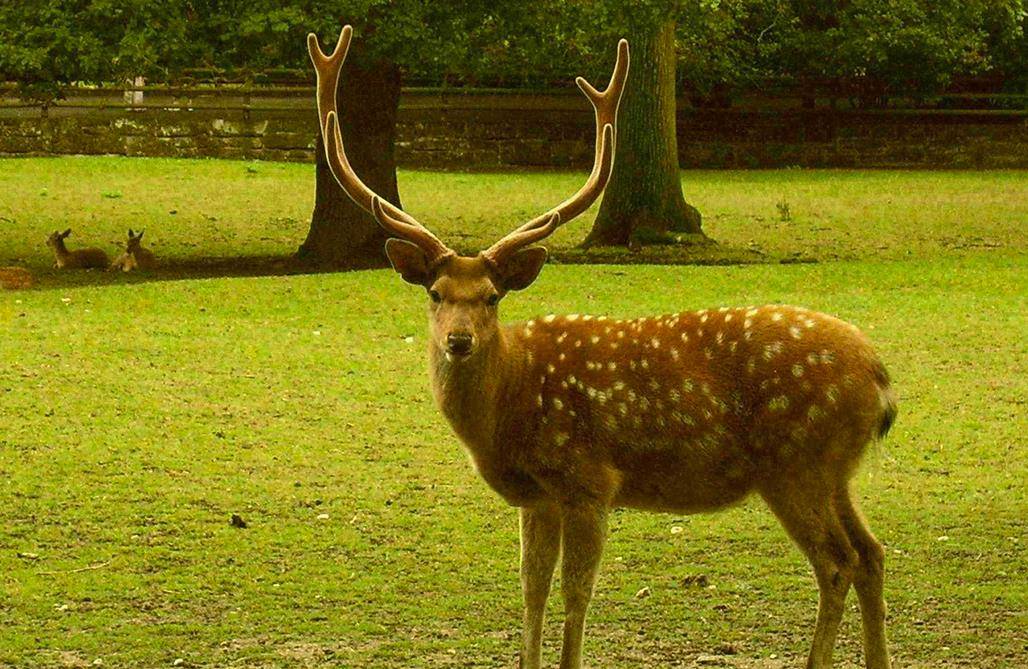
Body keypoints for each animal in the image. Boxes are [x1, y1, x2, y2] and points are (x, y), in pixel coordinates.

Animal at [308, 23, 896, 669]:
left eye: (491, 296)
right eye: (435, 293)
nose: (459, 340)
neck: (510, 407)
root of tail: (879, 376)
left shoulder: (589, 480)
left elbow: (575, 593)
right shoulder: (536, 496)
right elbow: (532, 588)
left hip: (797, 462)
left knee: (837, 562)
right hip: (836, 470)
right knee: (872, 553)